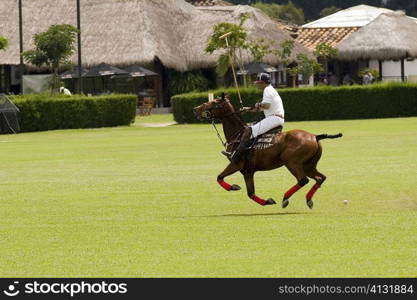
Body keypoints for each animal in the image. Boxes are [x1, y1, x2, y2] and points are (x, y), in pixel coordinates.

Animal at [192, 94, 342, 209]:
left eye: (213, 102)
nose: (195, 109)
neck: (237, 134)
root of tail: (315, 136)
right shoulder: (247, 171)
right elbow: (250, 193)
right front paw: (267, 201)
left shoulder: (236, 164)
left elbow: (219, 177)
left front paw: (234, 187)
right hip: (308, 165)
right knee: (320, 178)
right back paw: (308, 199)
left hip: (292, 162)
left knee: (303, 180)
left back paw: (285, 198)